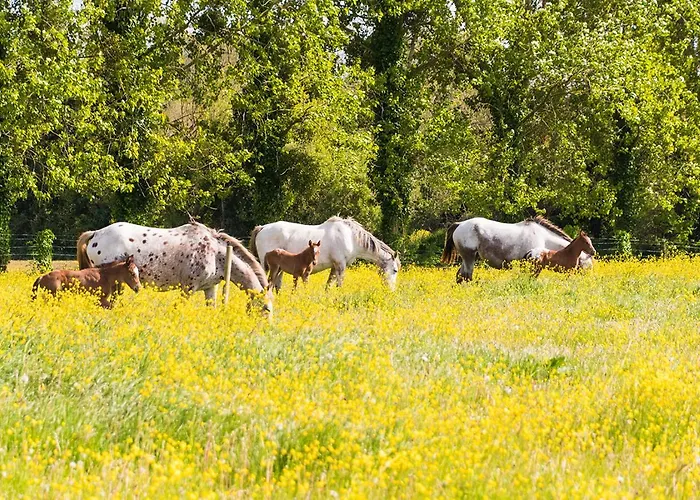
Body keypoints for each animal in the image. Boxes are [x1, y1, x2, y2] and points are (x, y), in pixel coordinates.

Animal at [250, 216, 401, 291]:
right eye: (395, 270)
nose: (392, 290)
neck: (350, 237)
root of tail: (262, 227)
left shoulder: (334, 266)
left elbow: (329, 285)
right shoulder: (340, 265)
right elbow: (339, 284)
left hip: (279, 268)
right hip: (268, 266)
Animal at [441, 216, 594, 283]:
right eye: (588, 264)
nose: (588, 279)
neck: (543, 237)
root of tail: (460, 224)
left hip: (466, 258)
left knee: (460, 276)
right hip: (469, 257)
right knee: (466, 276)